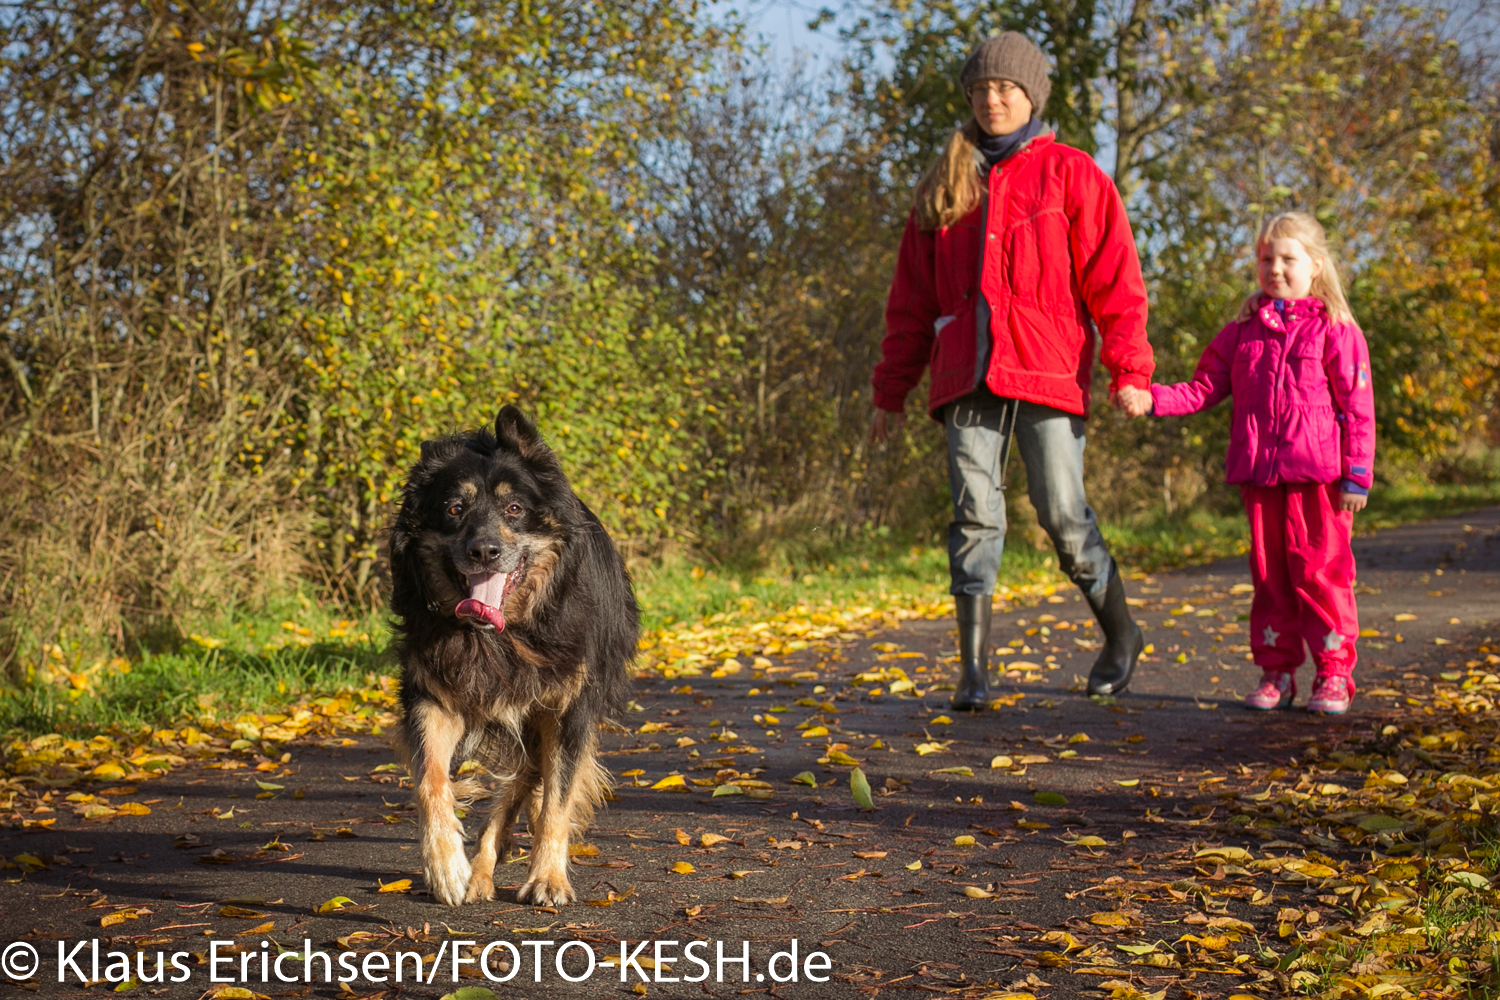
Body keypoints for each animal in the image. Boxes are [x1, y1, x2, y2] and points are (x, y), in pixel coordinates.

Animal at [390, 407, 636, 905]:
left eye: (514, 509)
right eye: (454, 509)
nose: (484, 551)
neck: (503, 635)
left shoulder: (567, 709)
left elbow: (558, 799)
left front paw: (548, 878)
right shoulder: (435, 693)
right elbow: (430, 778)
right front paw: (445, 866)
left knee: (528, 785)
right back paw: (480, 873)